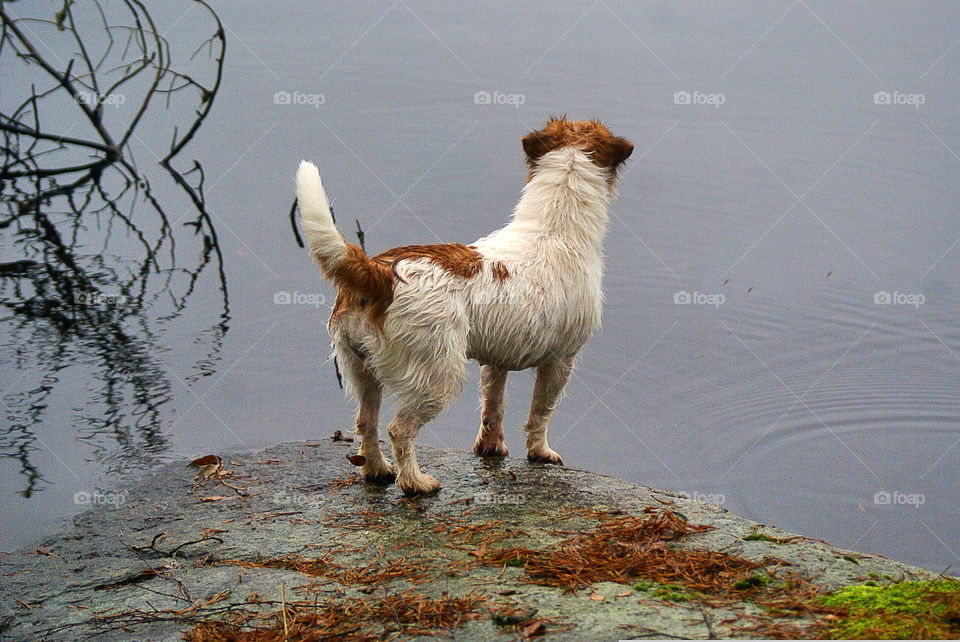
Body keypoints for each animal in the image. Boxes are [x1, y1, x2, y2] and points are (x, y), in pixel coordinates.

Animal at [296, 116, 632, 496]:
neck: (554, 229)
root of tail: (378, 273)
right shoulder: (561, 360)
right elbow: (540, 412)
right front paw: (541, 453)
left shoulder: (496, 360)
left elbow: (493, 406)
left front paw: (491, 447)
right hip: (436, 376)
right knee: (399, 429)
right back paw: (415, 482)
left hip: (361, 369)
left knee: (366, 422)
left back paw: (378, 470)